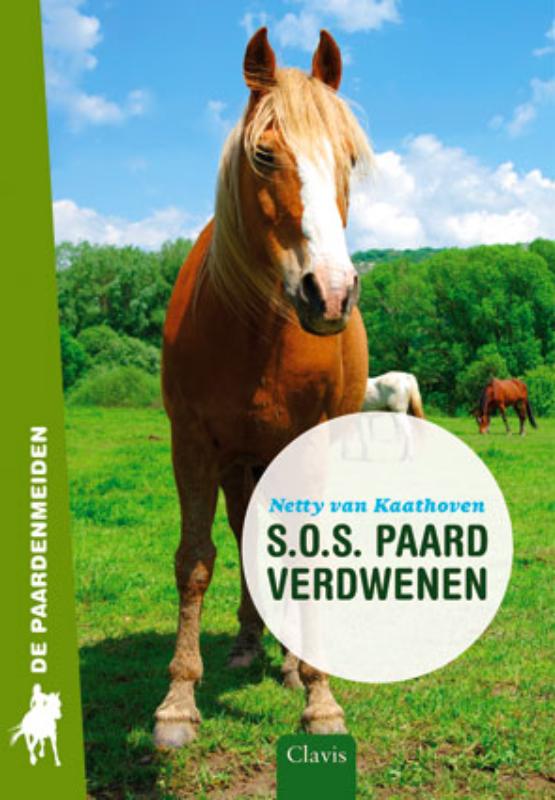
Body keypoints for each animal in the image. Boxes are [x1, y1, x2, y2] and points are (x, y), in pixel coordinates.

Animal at [154, 28, 373, 748]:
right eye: (263, 154)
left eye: (348, 158)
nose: (329, 294)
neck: (257, 332)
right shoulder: (194, 446)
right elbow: (195, 560)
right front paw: (178, 701)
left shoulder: (309, 445)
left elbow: (306, 559)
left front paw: (320, 698)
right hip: (239, 464)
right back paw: (252, 644)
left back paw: (287, 660)